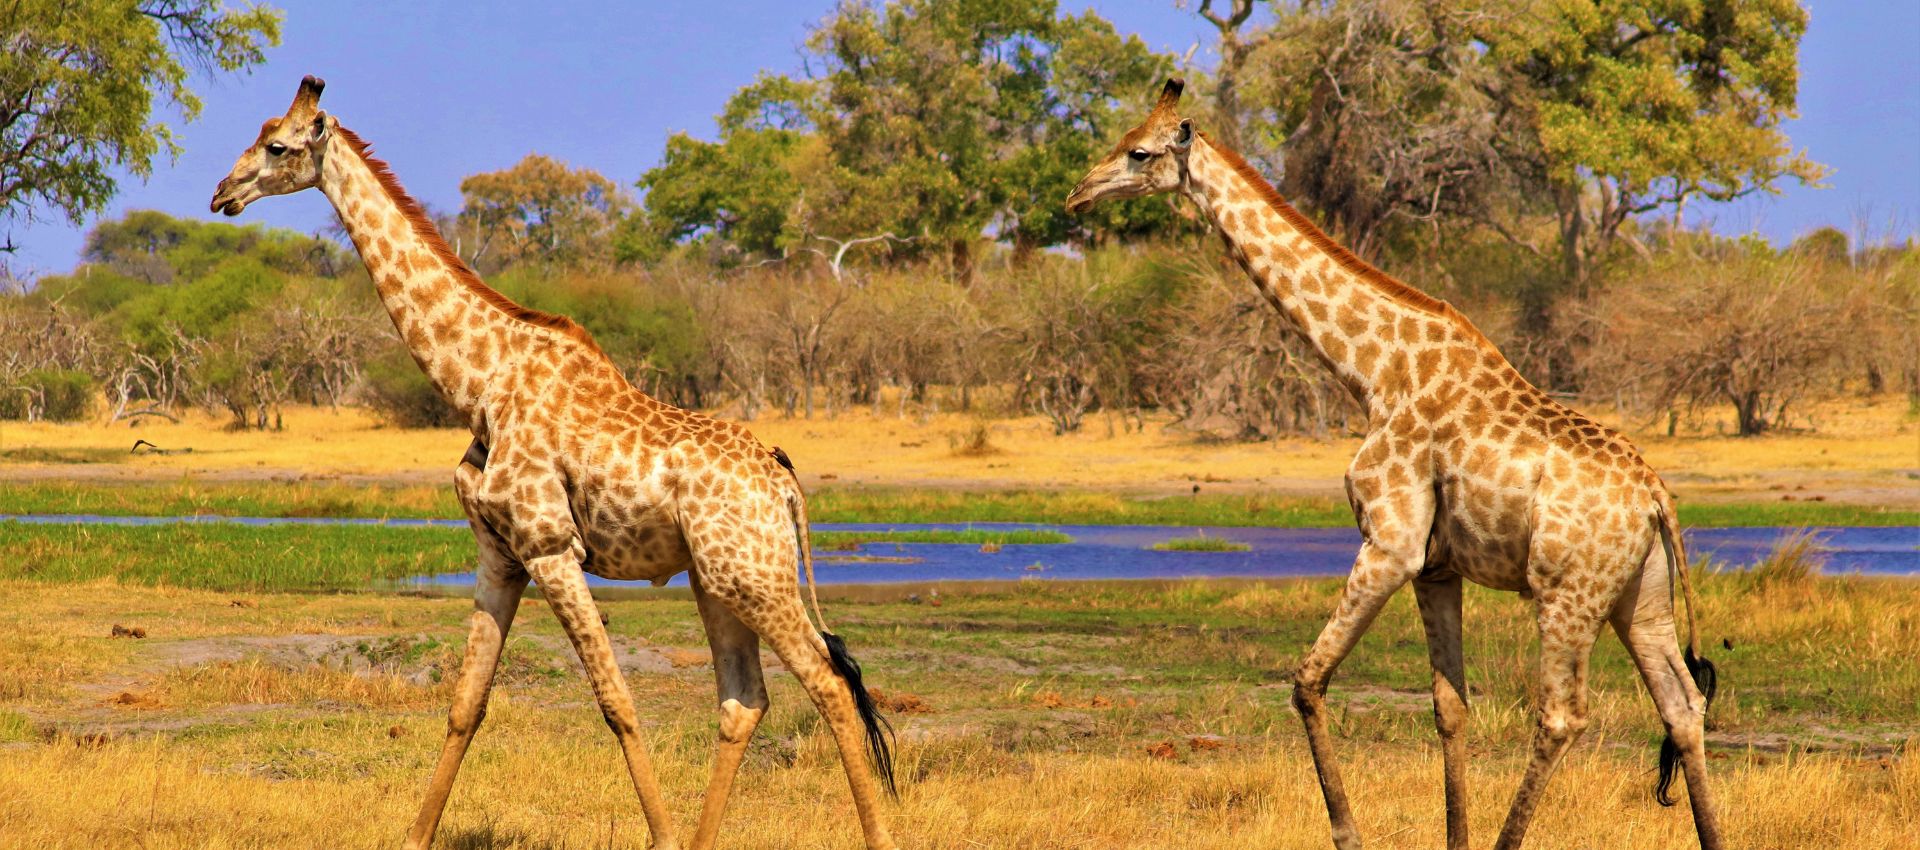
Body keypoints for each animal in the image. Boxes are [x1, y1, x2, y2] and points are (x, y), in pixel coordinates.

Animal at [210, 76, 899, 850]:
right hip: (718, 578)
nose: (222, 193)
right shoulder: (499, 553)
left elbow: (617, 701)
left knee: (829, 683)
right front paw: (416, 834)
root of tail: (784, 480)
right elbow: (466, 703)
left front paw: (659, 837)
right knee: (744, 698)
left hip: (754, 576)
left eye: (277, 146)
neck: (477, 385)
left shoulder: (550, 547)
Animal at [1067, 80, 1723, 850]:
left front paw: (1348, 833)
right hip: (1638, 598)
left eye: (1138, 152)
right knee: (1682, 706)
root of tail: (1657, 498)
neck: (1374, 373)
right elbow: (1450, 708)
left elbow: (1307, 680)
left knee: (1562, 716)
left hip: (1569, 593)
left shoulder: (1390, 543)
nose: (1077, 194)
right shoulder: (1437, 567)